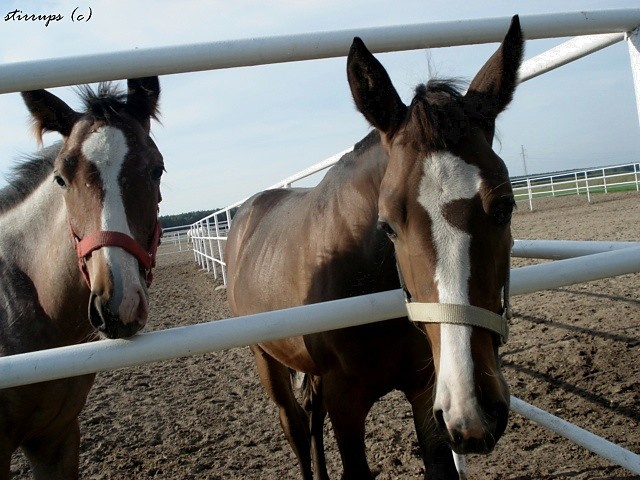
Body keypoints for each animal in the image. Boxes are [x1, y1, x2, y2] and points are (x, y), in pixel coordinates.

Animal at [228, 15, 524, 480]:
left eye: (505, 207)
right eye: (387, 225)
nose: (474, 410)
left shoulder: (426, 392)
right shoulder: (346, 403)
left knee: (310, 415)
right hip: (266, 358)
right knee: (294, 424)